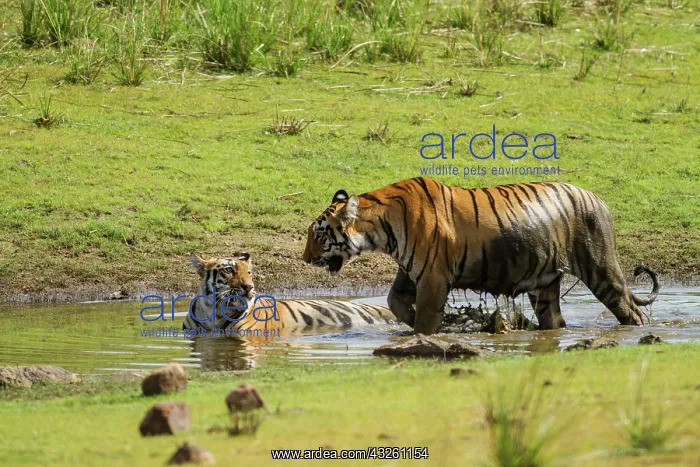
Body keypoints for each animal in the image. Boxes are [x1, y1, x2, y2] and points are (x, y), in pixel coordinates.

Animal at [302, 177, 659, 334]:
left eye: (319, 234)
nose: (305, 259)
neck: (380, 228)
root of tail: (598, 198)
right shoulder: (410, 274)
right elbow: (393, 301)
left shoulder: (433, 279)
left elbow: (425, 319)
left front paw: (426, 334)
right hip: (544, 284)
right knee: (555, 321)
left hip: (600, 269)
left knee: (630, 311)